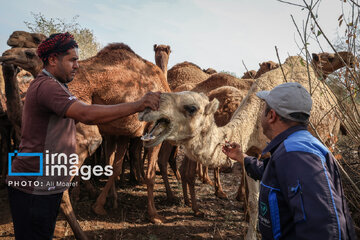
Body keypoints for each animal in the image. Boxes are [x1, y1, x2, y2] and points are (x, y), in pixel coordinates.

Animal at [138, 55, 344, 240]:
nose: (146, 109)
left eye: (192, 108)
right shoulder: (253, 152)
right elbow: (254, 200)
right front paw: (251, 234)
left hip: (330, 138)